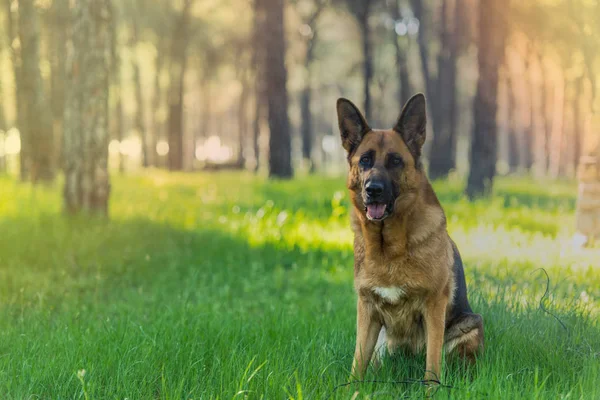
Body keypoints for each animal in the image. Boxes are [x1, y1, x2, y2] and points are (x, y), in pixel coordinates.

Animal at [338, 92, 482, 382]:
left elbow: (432, 364)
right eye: (365, 160)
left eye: (395, 160)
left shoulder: (434, 306)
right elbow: (357, 362)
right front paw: (352, 388)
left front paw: (432, 389)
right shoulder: (366, 309)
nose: (373, 190)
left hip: (470, 324)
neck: (389, 249)